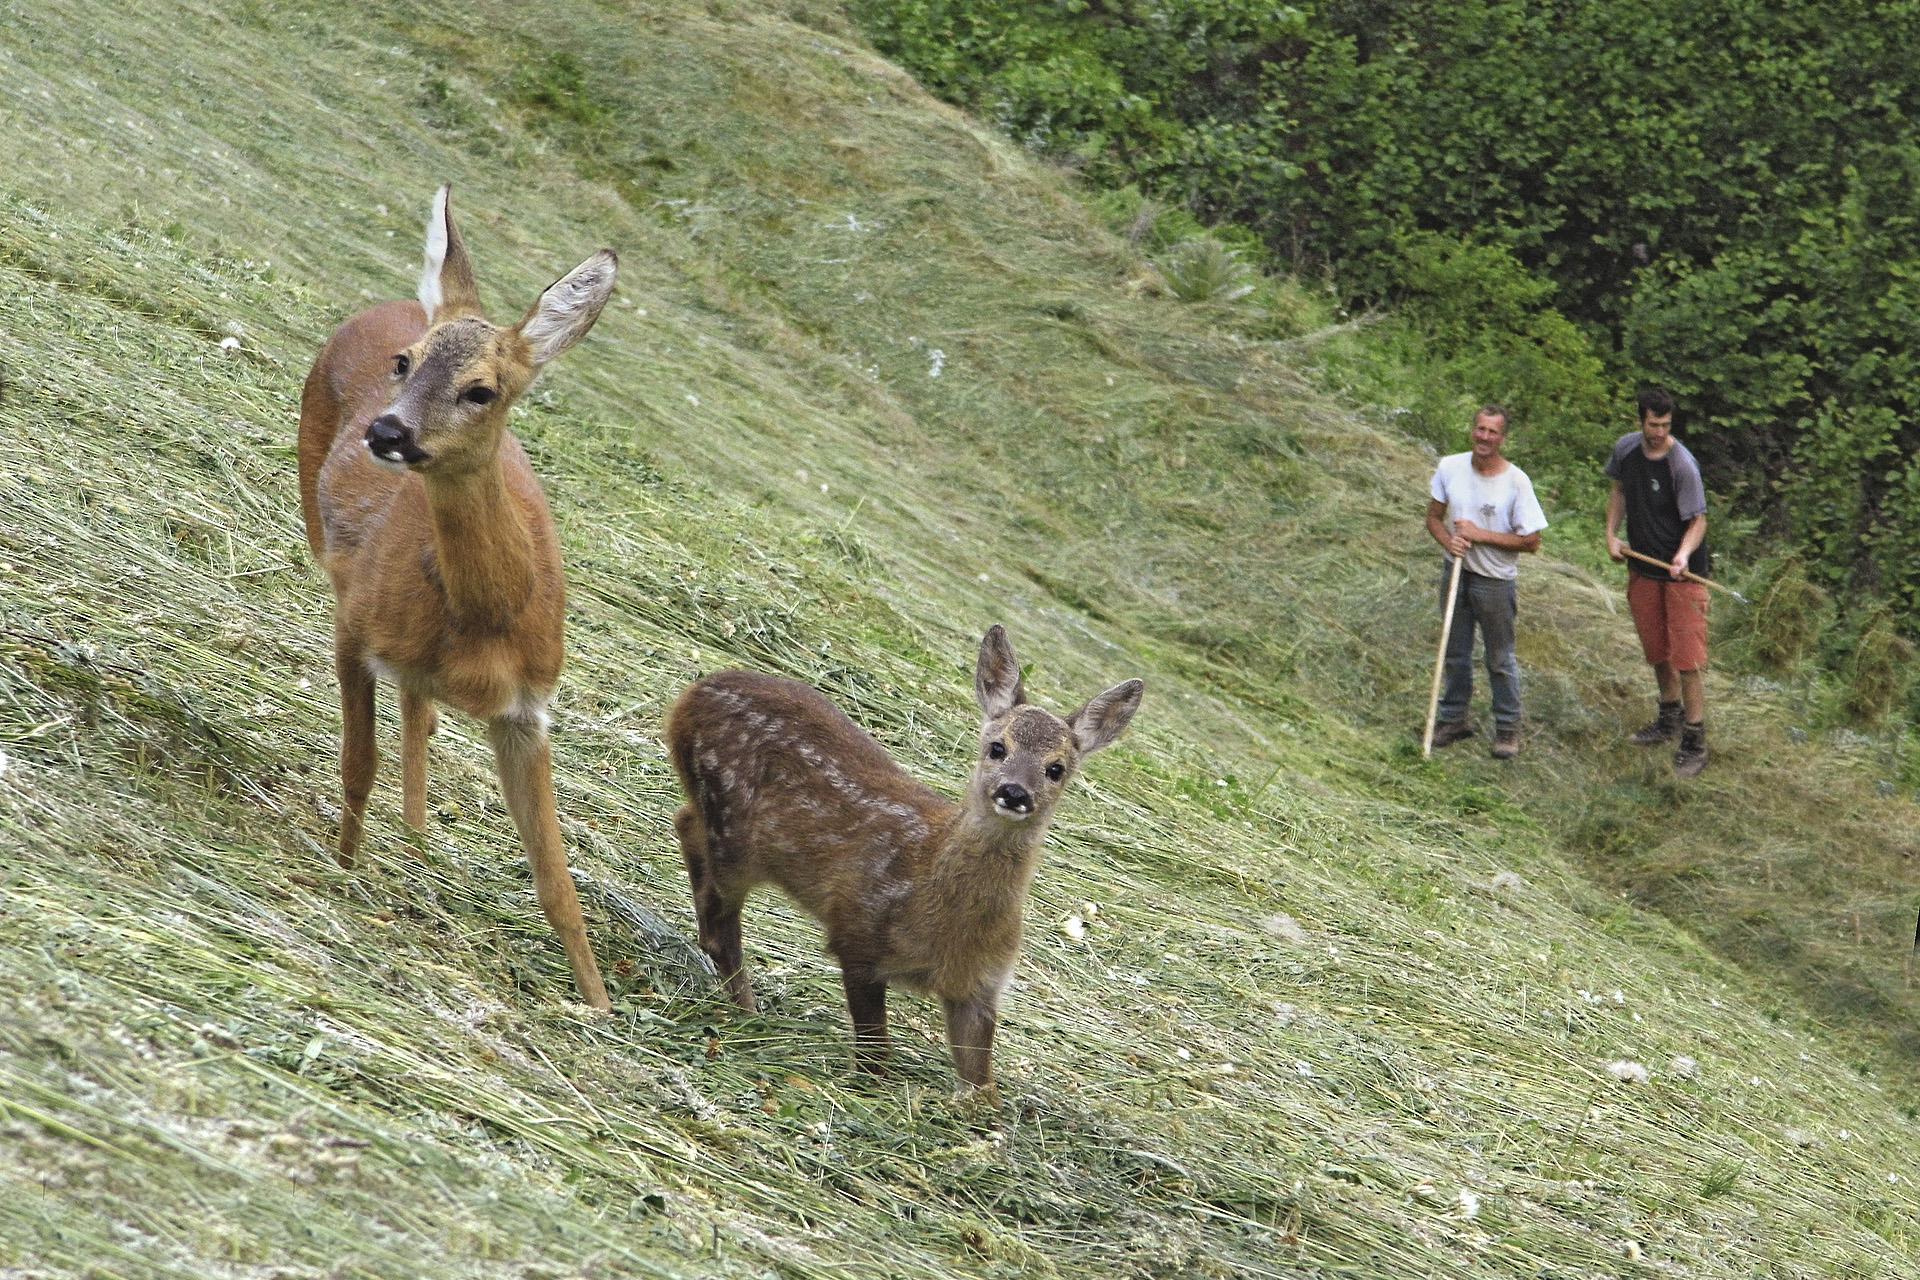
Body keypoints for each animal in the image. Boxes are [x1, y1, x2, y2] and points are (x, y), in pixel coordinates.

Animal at [295, 188, 618, 1013]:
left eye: (482, 390)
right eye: (404, 364)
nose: (387, 430)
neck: (486, 619)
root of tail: (397, 301)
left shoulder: (529, 708)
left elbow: (557, 879)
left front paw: (599, 1006)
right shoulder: (353, 628)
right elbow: (358, 762)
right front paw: (345, 868)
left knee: (422, 711)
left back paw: (416, 838)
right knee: (409, 712)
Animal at [664, 625, 1136, 1090]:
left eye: (1056, 769)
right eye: (997, 748)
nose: (1015, 791)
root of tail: (688, 697)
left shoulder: (980, 984)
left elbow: (981, 1087)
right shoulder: (858, 932)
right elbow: (876, 1055)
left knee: (686, 824)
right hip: (733, 832)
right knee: (718, 917)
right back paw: (749, 1010)